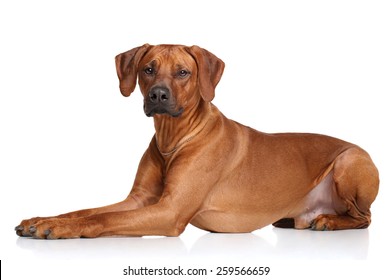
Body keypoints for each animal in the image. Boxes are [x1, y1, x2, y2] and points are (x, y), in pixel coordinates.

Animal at [13, 43, 378, 238]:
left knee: (364, 219)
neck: (172, 139)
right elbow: (85, 210)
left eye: (183, 72)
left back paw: (328, 220)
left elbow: (102, 219)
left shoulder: (170, 211)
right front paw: (42, 220)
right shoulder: (140, 200)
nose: (158, 96)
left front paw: (59, 229)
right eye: (148, 69)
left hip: (349, 162)